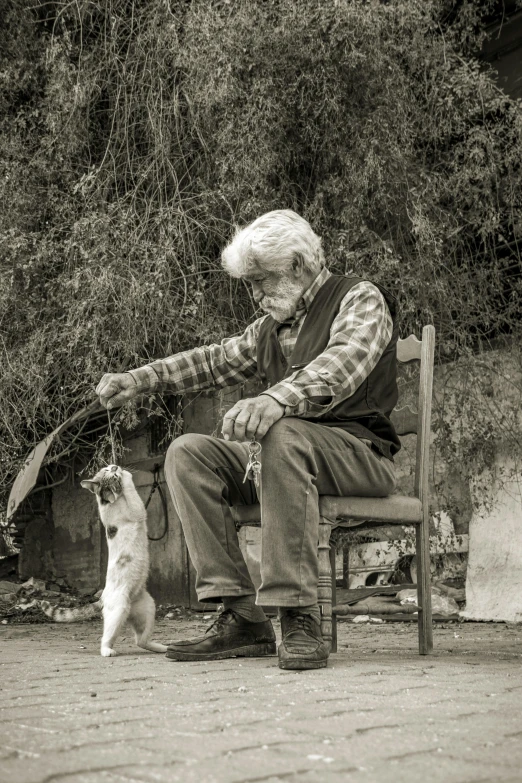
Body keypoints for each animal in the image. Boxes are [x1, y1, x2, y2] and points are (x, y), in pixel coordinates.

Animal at [37, 466, 165, 656]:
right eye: (111, 475)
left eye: (106, 468)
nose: (114, 466)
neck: (110, 502)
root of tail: (103, 596)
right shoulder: (137, 511)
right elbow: (131, 491)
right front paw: (126, 476)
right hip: (118, 611)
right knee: (107, 638)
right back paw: (107, 651)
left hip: (148, 608)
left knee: (140, 641)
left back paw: (162, 647)